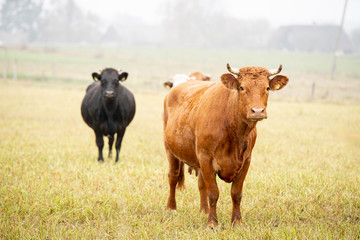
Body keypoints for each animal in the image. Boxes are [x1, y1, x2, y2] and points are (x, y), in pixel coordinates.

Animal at [163, 62, 290, 228]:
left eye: (267, 88)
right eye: (242, 87)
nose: (257, 111)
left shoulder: (246, 161)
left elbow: (236, 193)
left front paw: (237, 221)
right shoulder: (206, 158)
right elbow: (213, 193)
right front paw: (212, 223)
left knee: (201, 183)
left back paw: (204, 210)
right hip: (170, 150)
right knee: (173, 177)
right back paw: (171, 208)